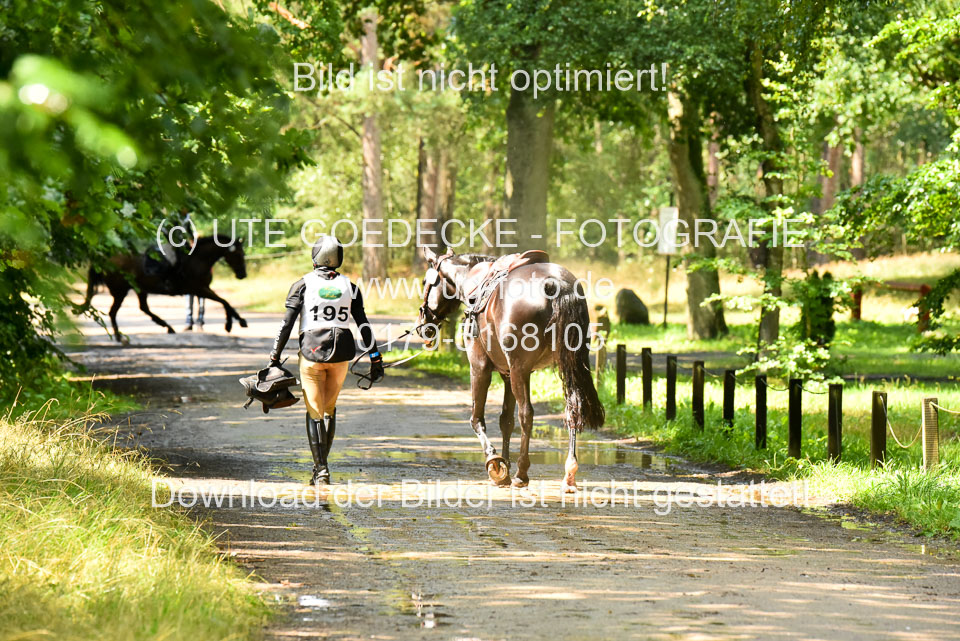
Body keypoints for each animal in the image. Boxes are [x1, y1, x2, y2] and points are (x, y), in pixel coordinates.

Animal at [83, 235, 248, 340]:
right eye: (238, 254)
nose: (243, 274)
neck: (197, 261)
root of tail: (105, 260)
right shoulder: (199, 289)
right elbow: (224, 301)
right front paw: (230, 324)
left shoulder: (203, 289)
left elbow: (225, 302)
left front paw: (238, 321)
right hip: (120, 291)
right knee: (113, 312)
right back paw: (118, 336)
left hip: (139, 289)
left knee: (143, 308)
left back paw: (167, 326)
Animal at [416, 248, 604, 492]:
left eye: (424, 282)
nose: (423, 324)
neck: (474, 281)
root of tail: (556, 284)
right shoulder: (508, 374)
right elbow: (506, 420)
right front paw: (504, 460)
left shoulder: (480, 367)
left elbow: (477, 418)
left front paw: (495, 463)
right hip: (567, 365)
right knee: (572, 409)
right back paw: (569, 474)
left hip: (518, 369)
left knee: (527, 414)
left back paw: (521, 473)